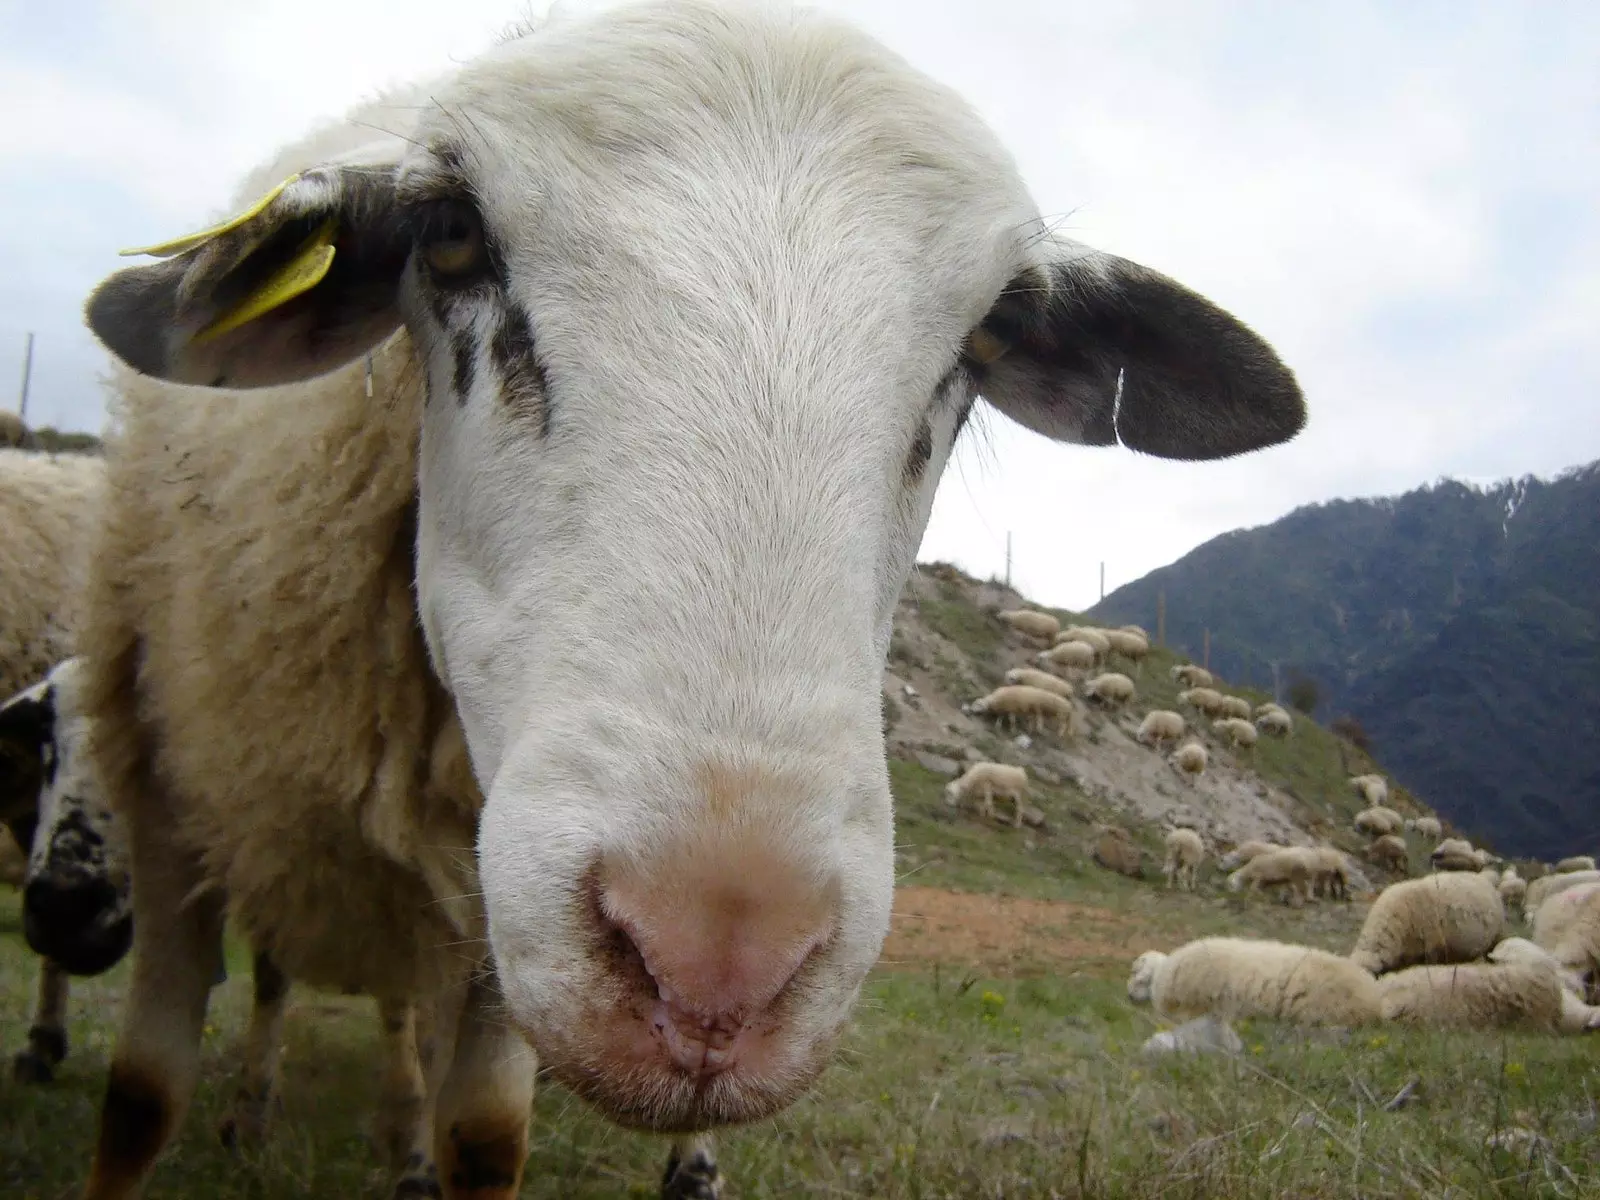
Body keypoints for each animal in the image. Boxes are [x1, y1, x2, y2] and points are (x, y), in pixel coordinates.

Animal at [72, 0, 1299, 1196]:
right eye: (450, 232)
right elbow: (140, 1100)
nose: (714, 971)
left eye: (993, 329)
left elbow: (486, 1137)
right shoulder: (163, 792)